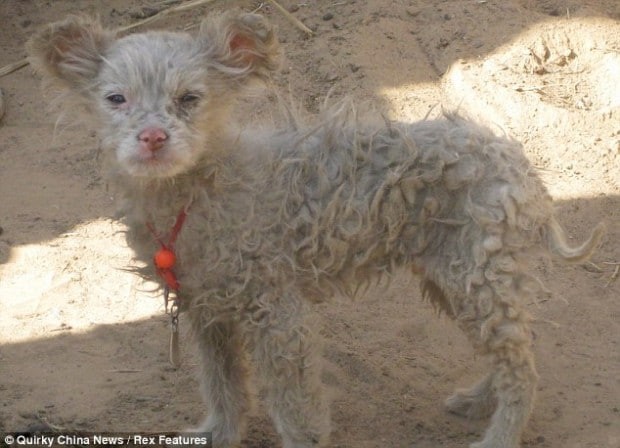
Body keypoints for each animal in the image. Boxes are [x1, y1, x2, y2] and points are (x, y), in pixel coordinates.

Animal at [26, 10, 604, 448]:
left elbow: (295, 409)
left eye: (190, 98)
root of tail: (518, 163)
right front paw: (218, 434)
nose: (151, 138)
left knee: (522, 370)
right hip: (456, 279)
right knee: (514, 351)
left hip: (475, 275)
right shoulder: (207, 311)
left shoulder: (280, 315)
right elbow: (222, 385)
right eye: (115, 99)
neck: (200, 194)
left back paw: (498, 435)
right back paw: (477, 399)